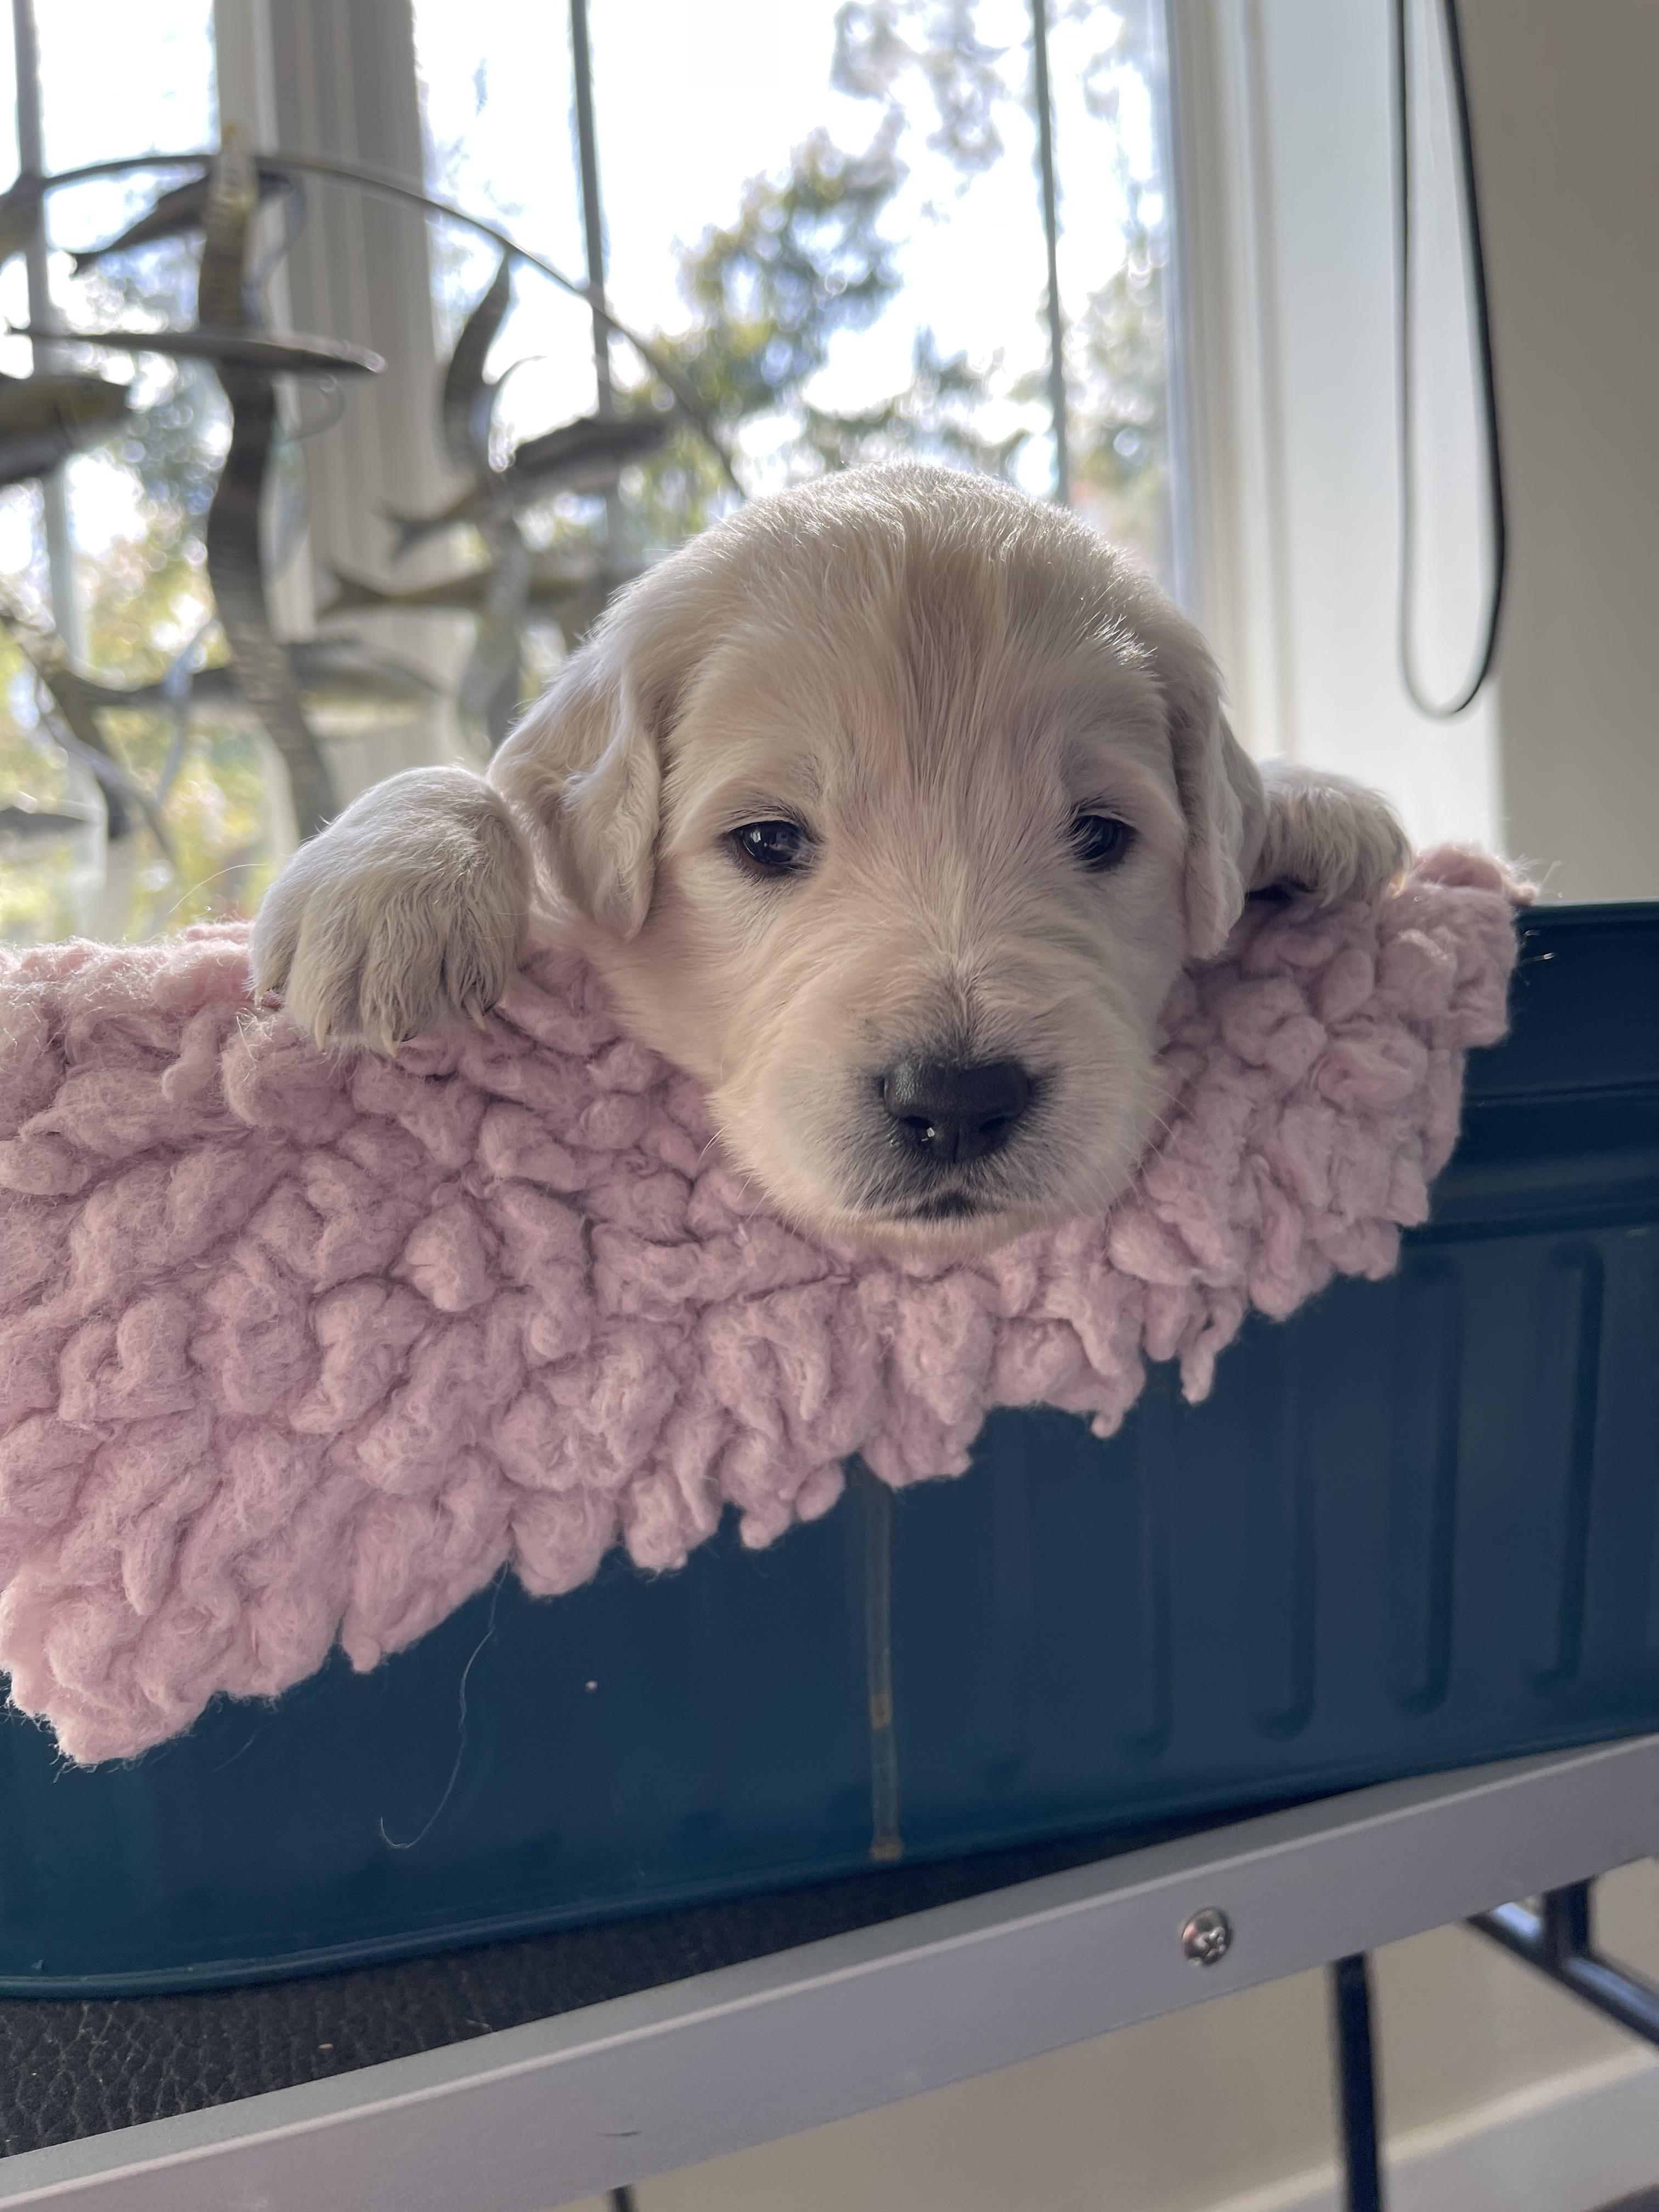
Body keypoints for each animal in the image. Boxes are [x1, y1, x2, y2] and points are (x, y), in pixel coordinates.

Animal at [253, 464, 1406, 1254]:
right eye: (766, 840)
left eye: (1099, 835)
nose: (956, 1101)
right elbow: (473, 779)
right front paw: (389, 890)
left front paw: (1307, 801)